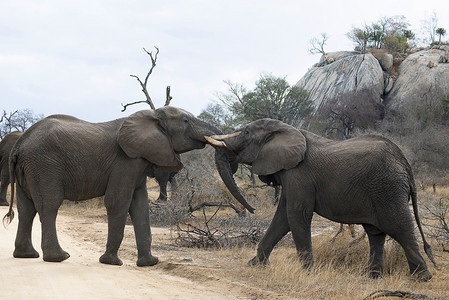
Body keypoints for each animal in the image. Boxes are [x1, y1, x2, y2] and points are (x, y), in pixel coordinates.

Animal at [3, 106, 254, 266]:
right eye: (185, 121)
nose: (250, 210)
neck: (151, 117)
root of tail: (19, 145)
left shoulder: (140, 162)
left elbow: (140, 205)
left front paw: (150, 263)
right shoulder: (126, 161)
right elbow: (118, 201)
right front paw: (112, 262)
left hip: (29, 168)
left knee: (27, 209)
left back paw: (27, 255)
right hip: (44, 166)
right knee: (49, 206)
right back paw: (59, 257)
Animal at [206, 118, 434, 282]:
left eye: (245, 132)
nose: (251, 210)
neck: (285, 128)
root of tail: (406, 165)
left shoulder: (299, 173)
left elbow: (296, 215)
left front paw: (307, 273)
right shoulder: (290, 174)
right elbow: (282, 218)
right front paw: (255, 265)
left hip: (388, 189)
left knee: (400, 228)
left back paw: (421, 279)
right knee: (376, 233)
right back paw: (372, 277)